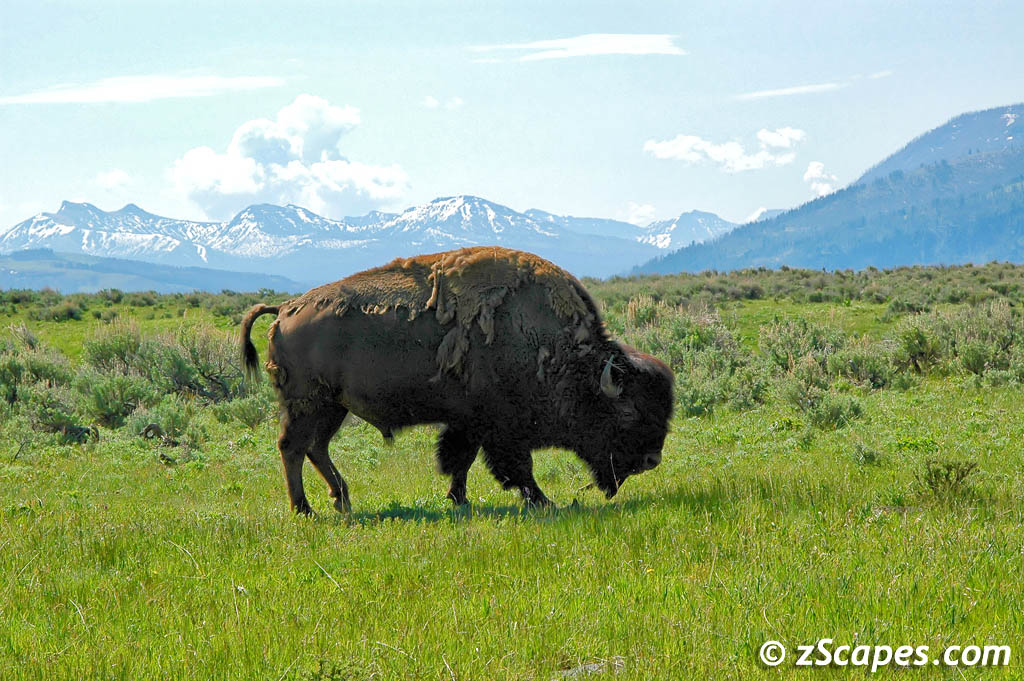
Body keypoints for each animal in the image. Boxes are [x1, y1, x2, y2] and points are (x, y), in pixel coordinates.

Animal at [240, 246, 673, 514]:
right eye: (629, 412)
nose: (652, 460)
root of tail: (286, 308)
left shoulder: (469, 424)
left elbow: (460, 461)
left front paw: (458, 499)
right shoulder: (500, 428)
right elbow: (515, 467)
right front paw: (542, 501)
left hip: (332, 407)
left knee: (316, 448)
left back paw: (341, 500)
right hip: (306, 404)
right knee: (293, 448)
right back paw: (305, 509)